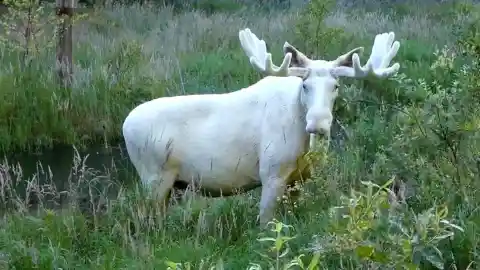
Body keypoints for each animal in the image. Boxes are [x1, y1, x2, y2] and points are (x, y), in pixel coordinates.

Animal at [122, 27, 400, 227]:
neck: (304, 145)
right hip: (153, 176)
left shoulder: (299, 180)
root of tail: (125, 125)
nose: (318, 123)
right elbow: (266, 225)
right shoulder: (271, 172)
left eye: (336, 86)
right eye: (305, 85)